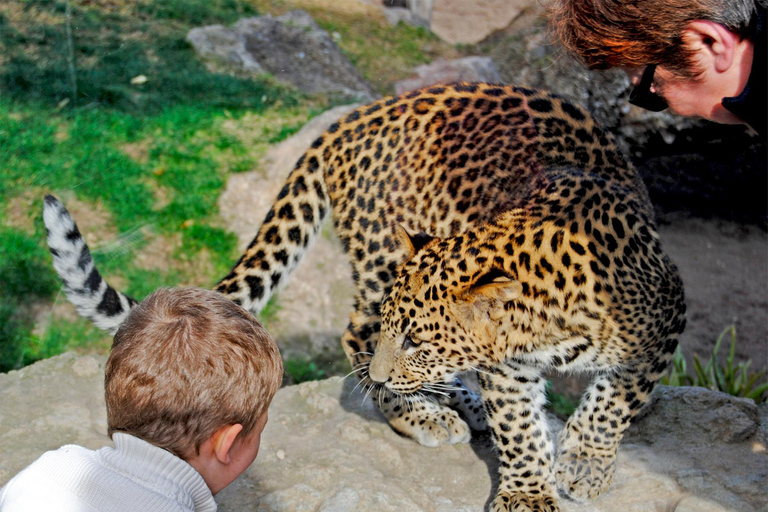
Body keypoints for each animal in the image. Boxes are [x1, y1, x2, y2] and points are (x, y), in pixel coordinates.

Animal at [43, 82, 684, 510]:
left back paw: (452, 399)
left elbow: (615, 401)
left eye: (420, 340)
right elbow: (520, 428)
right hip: (378, 261)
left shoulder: (665, 318)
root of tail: (350, 119)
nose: (388, 370)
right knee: (354, 331)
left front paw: (583, 461)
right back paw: (422, 413)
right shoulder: (509, 364)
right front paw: (530, 490)